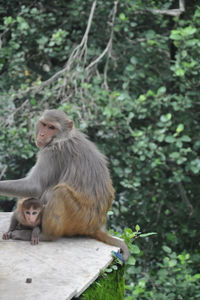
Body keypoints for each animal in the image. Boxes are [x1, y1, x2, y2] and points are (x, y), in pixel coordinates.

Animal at [0, 109, 130, 262]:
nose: (42, 134)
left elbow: (34, 187)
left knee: (59, 192)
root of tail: (96, 226)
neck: (62, 138)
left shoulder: (52, 152)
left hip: (79, 219)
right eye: (44, 124)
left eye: (52, 127)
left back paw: (44, 235)